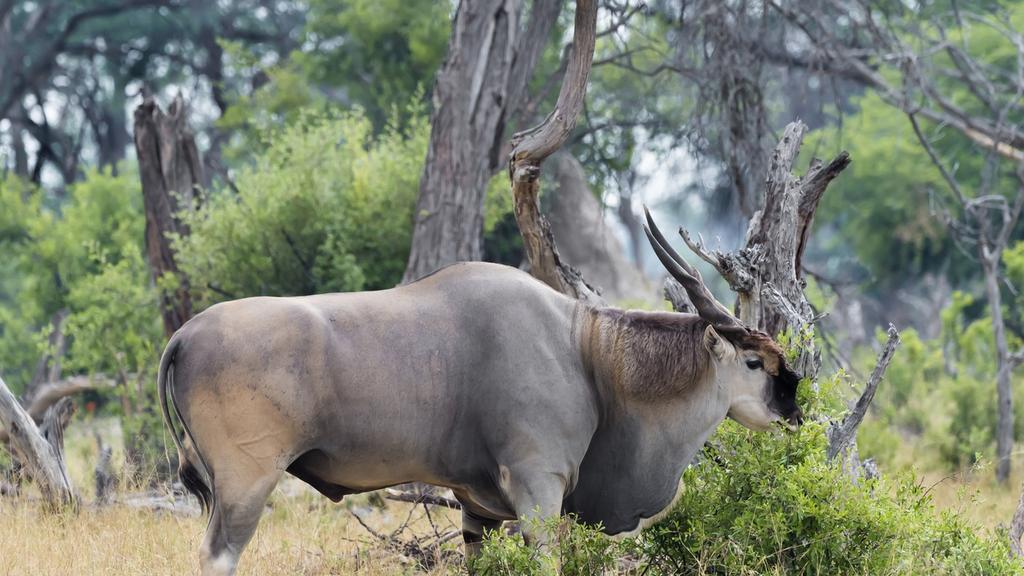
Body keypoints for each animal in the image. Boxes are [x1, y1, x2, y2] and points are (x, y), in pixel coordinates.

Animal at [158, 208, 802, 575]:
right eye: (754, 362)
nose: (794, 414)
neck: (584, 351)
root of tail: (184, 336)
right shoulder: (539, 491)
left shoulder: (478, 511)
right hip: (247, 483)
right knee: (217, 557)